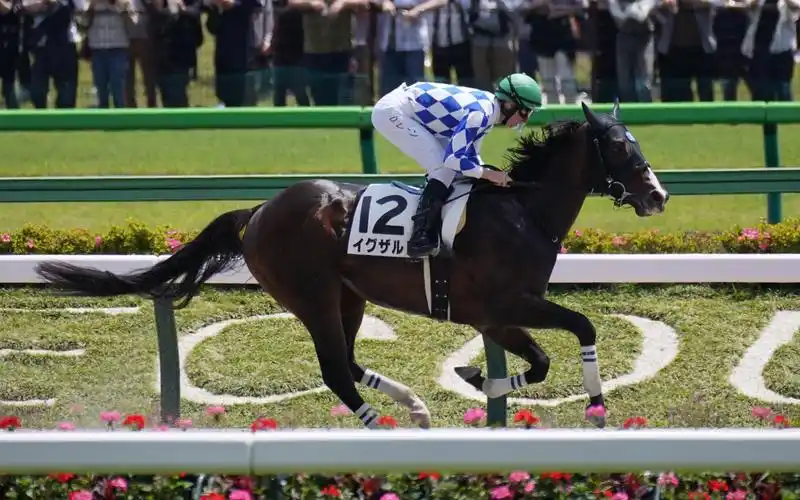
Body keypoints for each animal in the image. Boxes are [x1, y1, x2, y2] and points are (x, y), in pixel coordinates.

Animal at [35, 101, 669, 429]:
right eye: (620, 147)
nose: (657, 195)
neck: (522, 211)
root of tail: (259, 210)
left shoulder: (495, 316)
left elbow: (537, 363)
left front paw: (475, 378)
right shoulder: (503, 305)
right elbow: (578, 328)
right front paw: (594, 408)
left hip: (349, 296)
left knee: (349, 360)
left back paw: (414, 406)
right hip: (310, 294)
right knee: (335, 370)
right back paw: (383, 425)